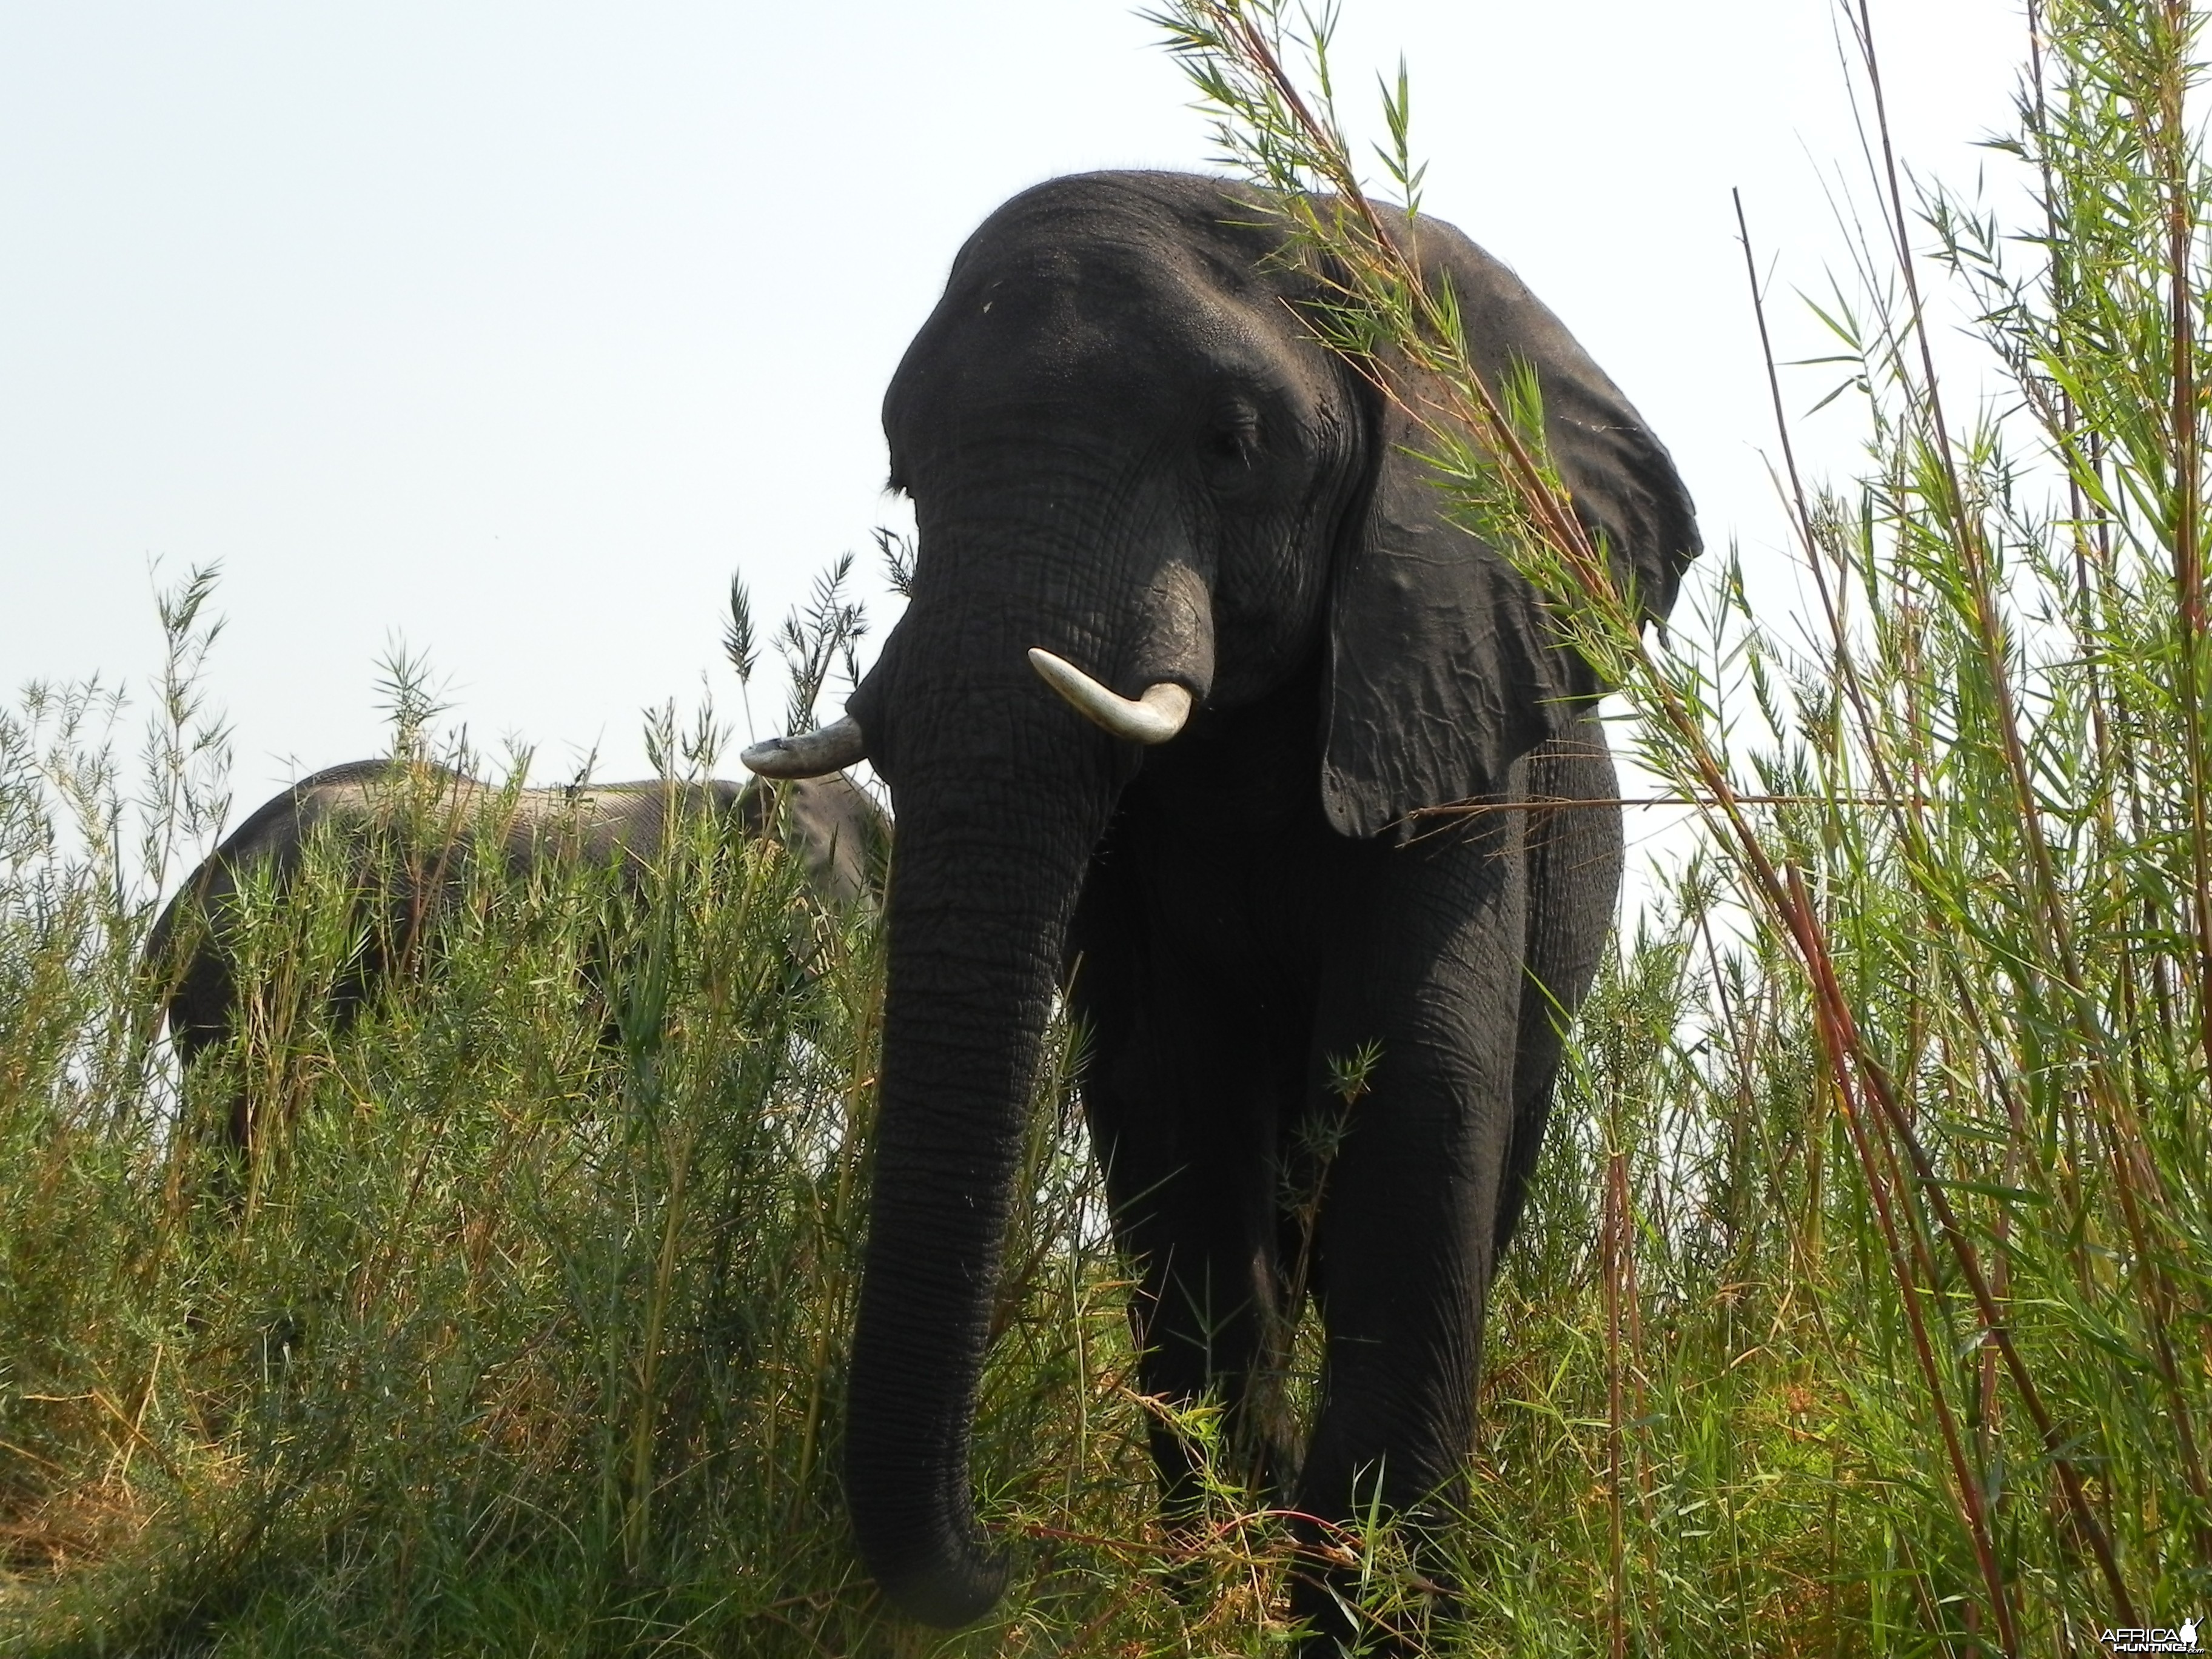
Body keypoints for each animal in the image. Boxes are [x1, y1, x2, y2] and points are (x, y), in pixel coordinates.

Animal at [743, 169, 1690, 1654]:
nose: (999, 1565)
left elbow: (1420, 1099)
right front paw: (1232, 1592)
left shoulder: (1441, 700)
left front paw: (1367, 1617)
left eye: (1234, 445)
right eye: (902, 469)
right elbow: (1171, 1112)